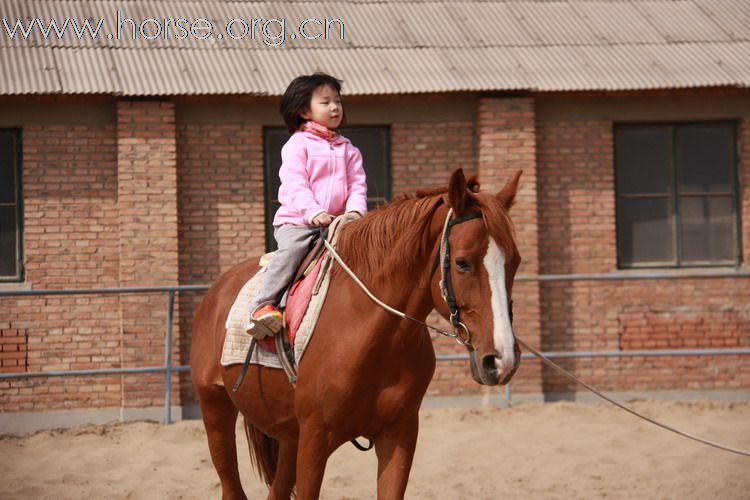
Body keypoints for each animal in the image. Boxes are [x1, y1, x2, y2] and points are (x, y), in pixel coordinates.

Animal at [189, 169, 524, 500]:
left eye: (516, 261)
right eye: (462, 262)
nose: (502, 360)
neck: (367, 332)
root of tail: (216, 292)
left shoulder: (398, 434)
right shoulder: (314, 439)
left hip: (288, 438)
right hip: (216, 411)